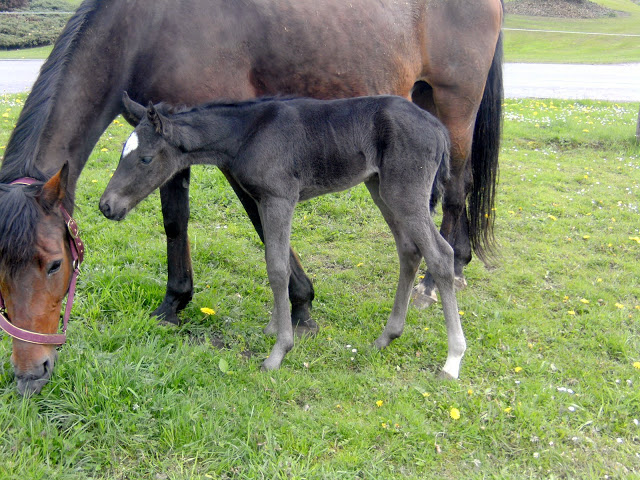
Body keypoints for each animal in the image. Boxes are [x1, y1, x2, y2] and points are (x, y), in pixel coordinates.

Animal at [102, 94, 468, 376]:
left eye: (146, 158)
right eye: (121, 151)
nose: (106, 206)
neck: (247, 133)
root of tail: (438, 127)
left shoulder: (280, 198)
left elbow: (277, 268)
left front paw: (279, 351)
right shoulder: (263, 200)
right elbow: (279, 261)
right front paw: (276, 328)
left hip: (405, 191)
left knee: (440, 255)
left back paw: (452, 360)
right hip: (380, 187)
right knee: (409, 250)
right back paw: (386, 337)